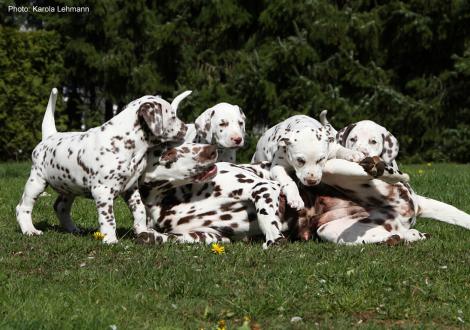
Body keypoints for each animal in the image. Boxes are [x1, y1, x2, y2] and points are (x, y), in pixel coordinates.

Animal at [16, 87, 189, 242]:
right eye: (173, 116)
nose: (186, 128)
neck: (126, 142)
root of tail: (50, 135)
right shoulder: (103, 191)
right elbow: (109, 218)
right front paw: (110, 239)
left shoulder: (131, 189)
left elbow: (139, 211)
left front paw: (143, 232)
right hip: (37, 181)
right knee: (23, 207)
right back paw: (30, 230)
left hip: (68, 187)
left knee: (60, 208)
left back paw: (73, 229)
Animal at [139, 143, 470, 246]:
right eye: (170, 152)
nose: (211, 150)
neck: (173, 197)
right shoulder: (210, 236)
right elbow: (172, 238)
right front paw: (151, 237)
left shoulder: (264, 187)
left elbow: (266, 213)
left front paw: (274, 238)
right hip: (331, 232)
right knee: (396, 236)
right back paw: (408, 236)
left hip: (333, 168)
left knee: (379, 170)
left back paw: (383, 168)